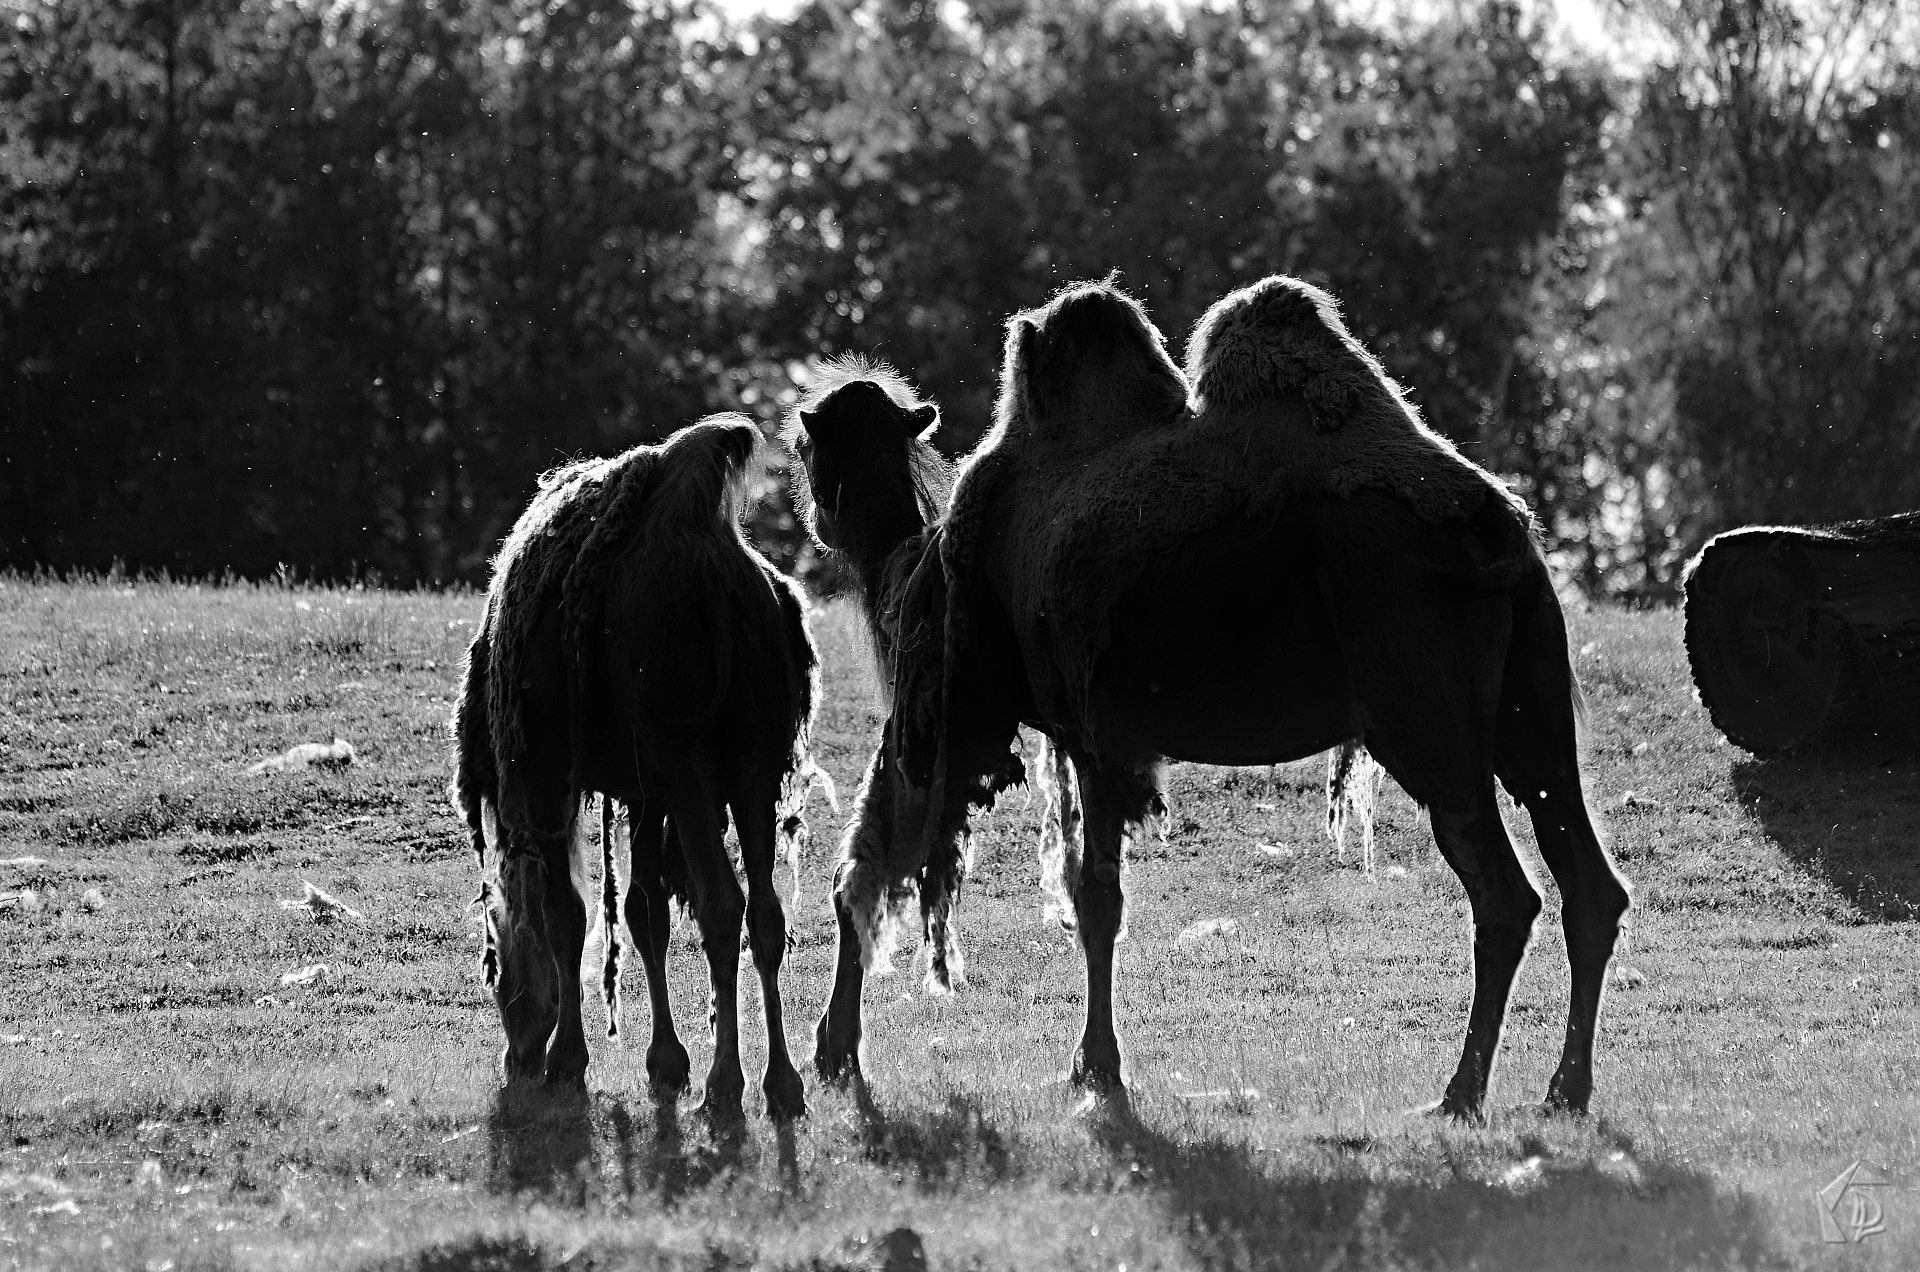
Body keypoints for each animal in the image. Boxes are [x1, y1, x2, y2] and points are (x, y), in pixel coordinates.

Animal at [449, 417, 822, 1118]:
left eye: (498, 969)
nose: (516, 1054)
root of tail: (720, 586)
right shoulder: (646, 792)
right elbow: (646, 910)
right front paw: (665, 1061)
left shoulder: (551, 780)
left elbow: (569, 914)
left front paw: (569, 1059)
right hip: (751, 766)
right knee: (765, 913)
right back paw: (782, 1083)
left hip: (687, 760)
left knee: (721, 902)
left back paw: (725, 1084)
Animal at [794, 278, 1632, 1122]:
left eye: (807, 448)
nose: (818, 517)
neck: (914, 563)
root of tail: (1500, 531)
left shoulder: (1013, 711)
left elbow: (1064, 897)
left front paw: (1093, 1070)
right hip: (1534, 700)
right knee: (1590, 881)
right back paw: (1565, 1089)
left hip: (1421, 708)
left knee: (1504, 893)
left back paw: (1460, 1095)